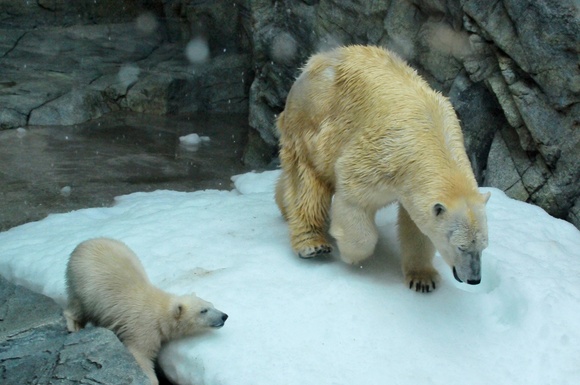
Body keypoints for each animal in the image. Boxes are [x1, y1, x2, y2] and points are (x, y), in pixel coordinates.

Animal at [276, 45, 490, 292]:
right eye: (461, 246)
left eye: (483, 246)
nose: (474, 279)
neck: (432, 135)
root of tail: (314, 62)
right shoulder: (382, 157)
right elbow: (354, 200)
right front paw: (351, 255)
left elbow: (416, 226)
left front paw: (423, 279)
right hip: (312, 121)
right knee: (307, 180)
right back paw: (312, 244)